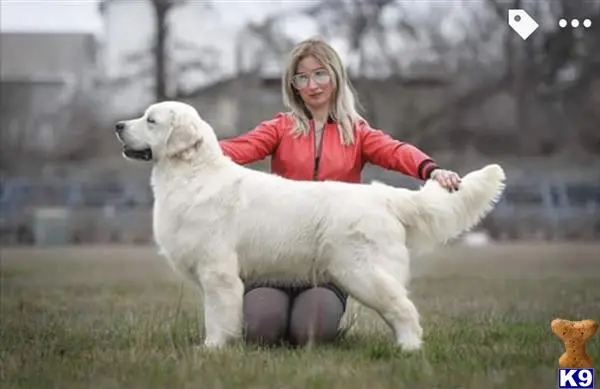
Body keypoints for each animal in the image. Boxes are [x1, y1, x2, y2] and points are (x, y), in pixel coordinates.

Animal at [115, 100, 504, 348]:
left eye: (150, 120)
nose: (118, 125)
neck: (193, 175)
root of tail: (384, 196)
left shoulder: (218, 273)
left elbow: (217, 317)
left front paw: (212, 349)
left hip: (362, 273)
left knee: (404, 309)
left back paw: (408, 350)